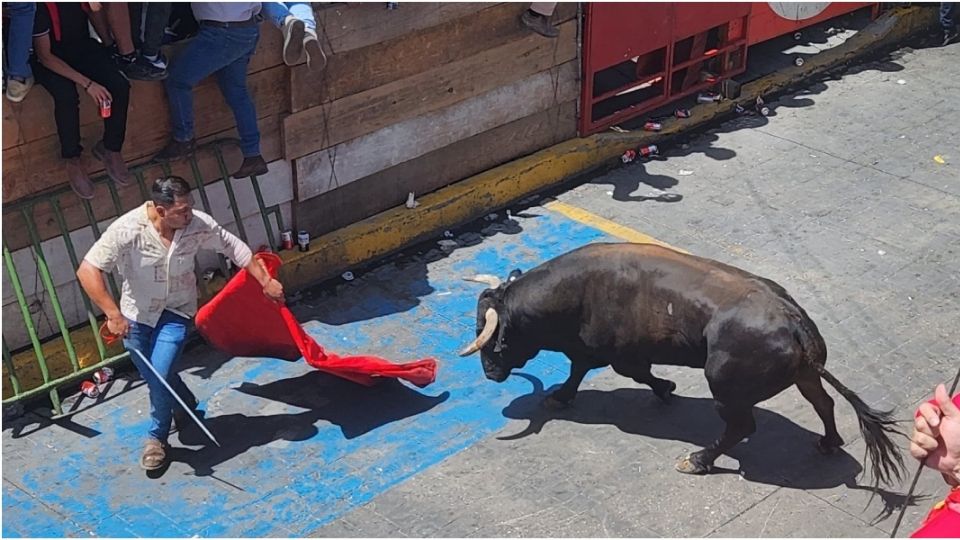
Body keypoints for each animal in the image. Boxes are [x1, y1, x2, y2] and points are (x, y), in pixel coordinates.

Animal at [462, 243, 904, 484]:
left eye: (492, 336)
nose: (489, 373)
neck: (576, 291)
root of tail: (792, 319)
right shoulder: (590, 351)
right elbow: (577, 370)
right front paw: (561, 397)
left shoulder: (621, 355)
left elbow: (629, 372)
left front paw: (666, 389)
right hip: (806, 374)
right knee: (823, 403)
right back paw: (828, 443)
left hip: (725, 388)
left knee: (742, 426)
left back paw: (698, 460)